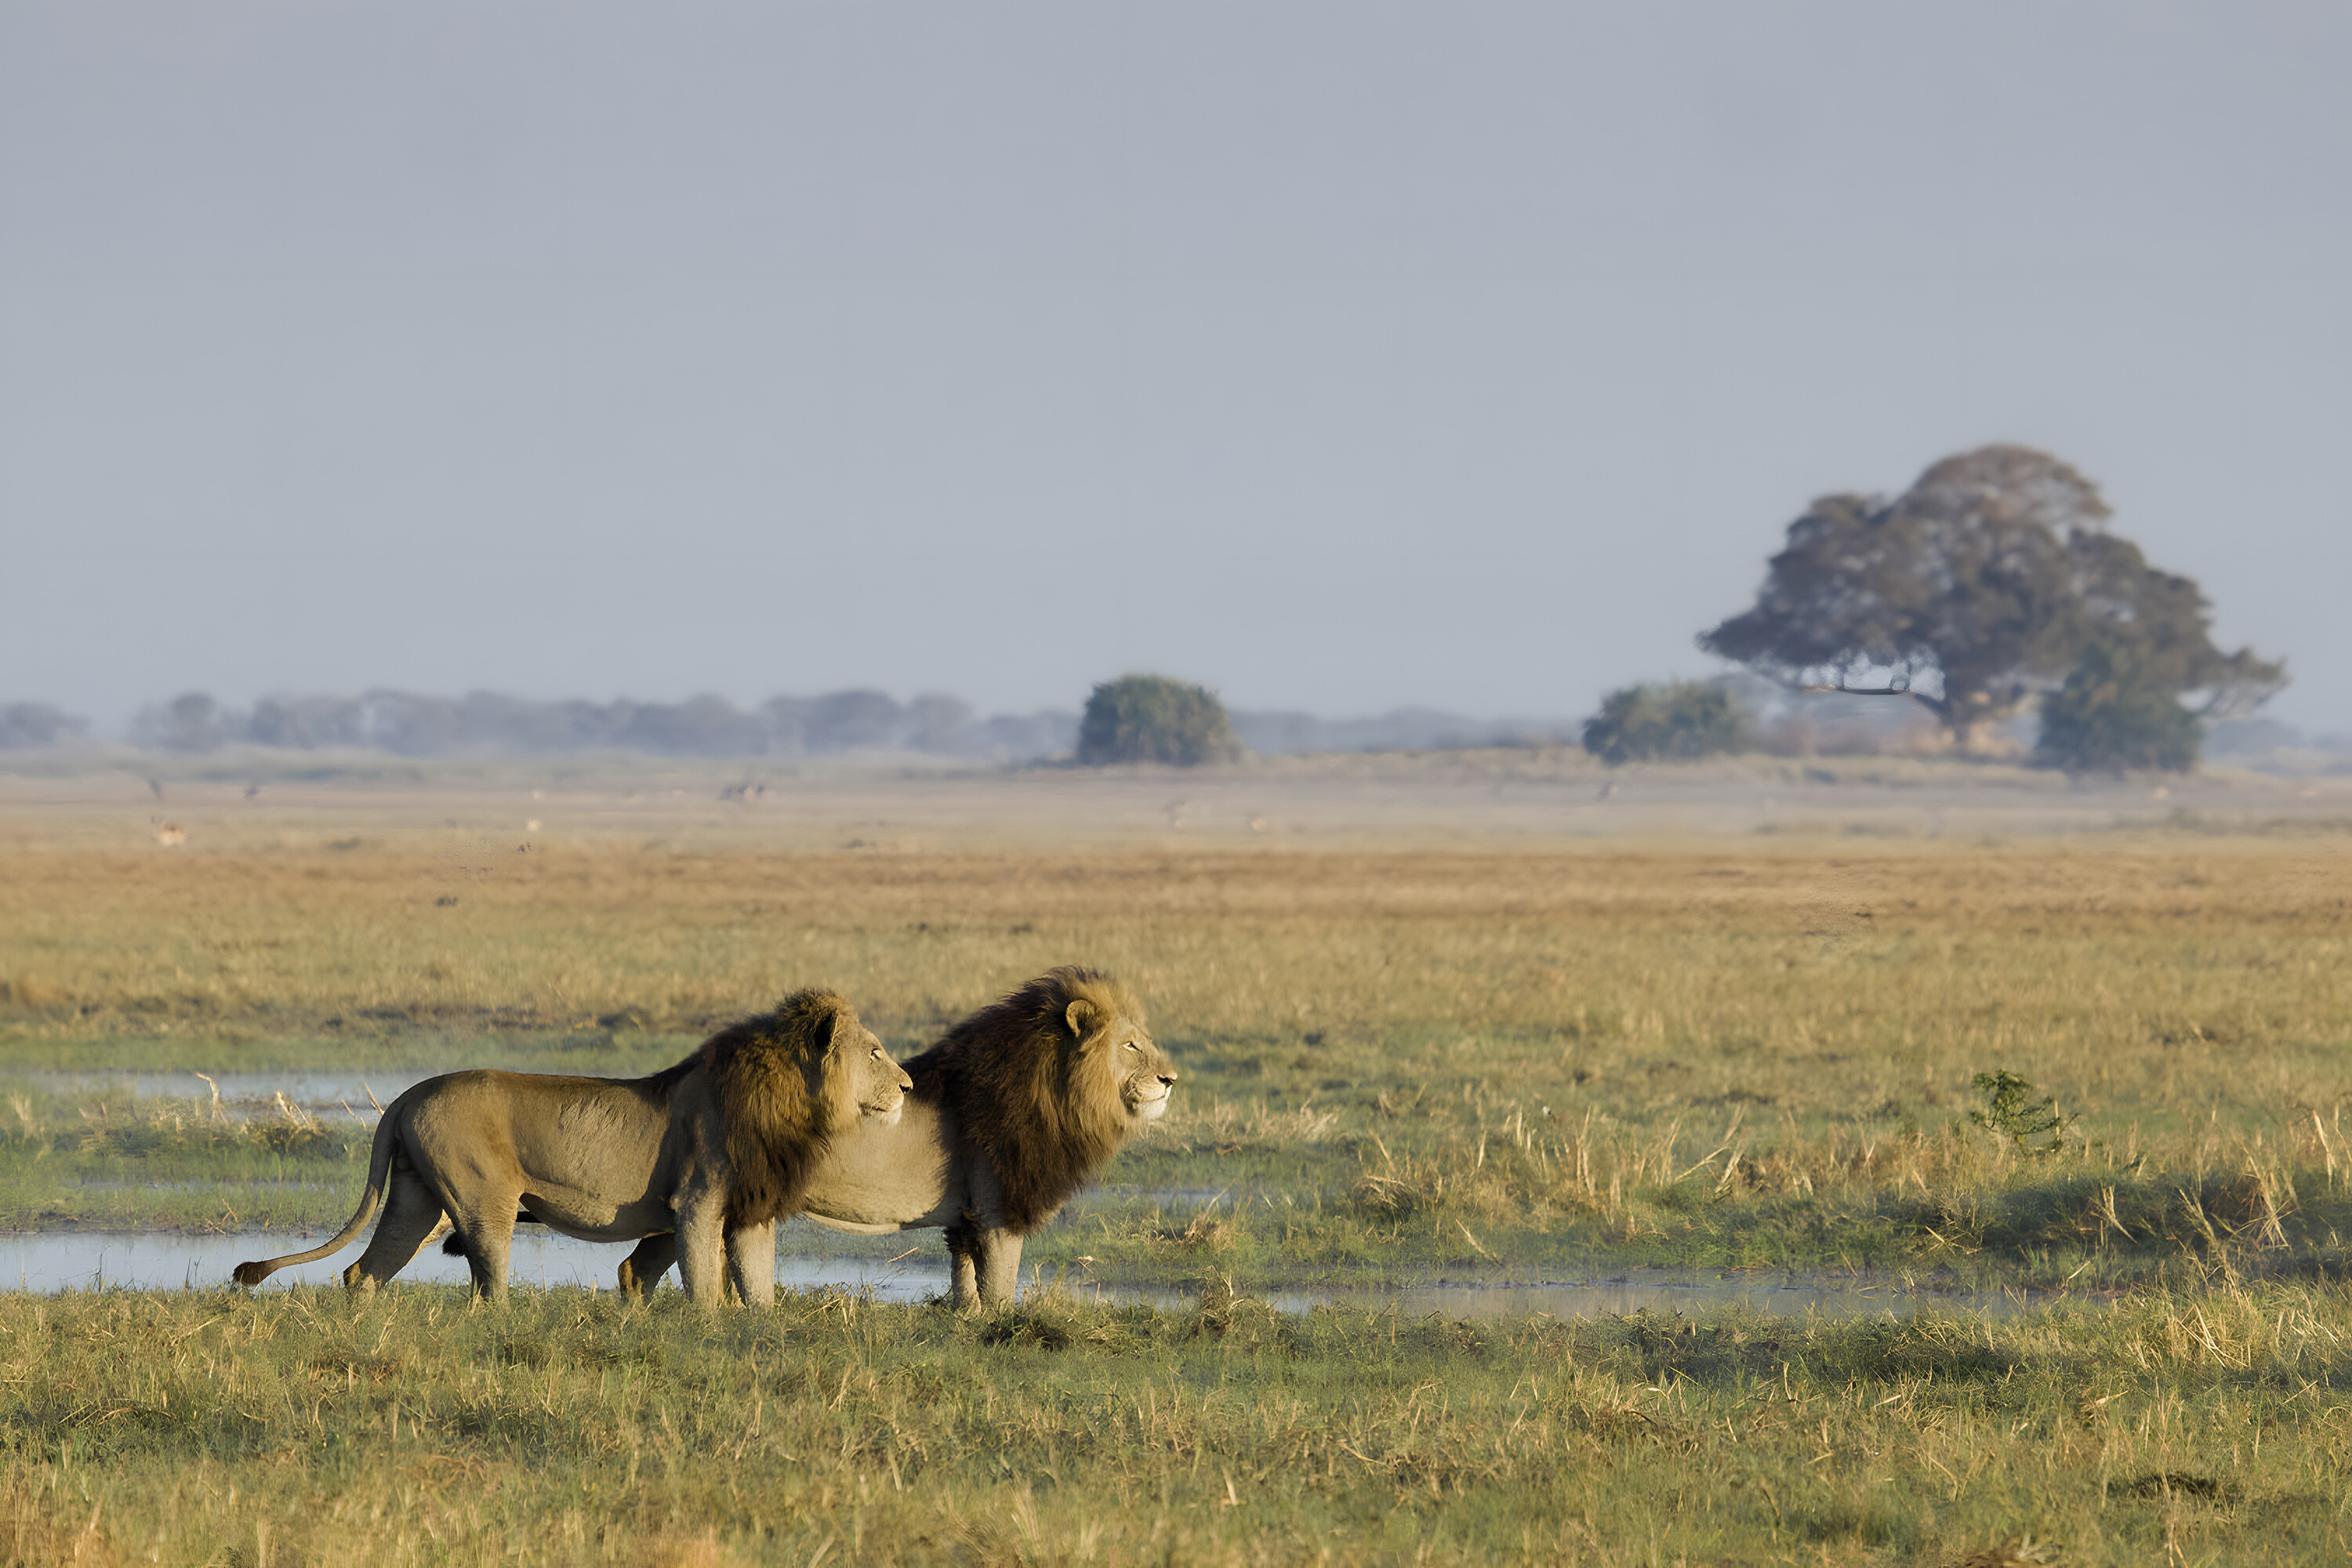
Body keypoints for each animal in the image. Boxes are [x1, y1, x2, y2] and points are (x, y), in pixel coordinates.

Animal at [227, 992, 908, 1316]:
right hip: (482, 1199)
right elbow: (705, 1282)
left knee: (363, 1271)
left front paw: (757, 1326)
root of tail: (407, 1095)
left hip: (417, 1200)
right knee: (487, 1283)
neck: (793, 1102)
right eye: (875, 1052)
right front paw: (709, 1328)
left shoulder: (750, 1208)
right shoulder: (698, 1198)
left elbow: (757, 1284)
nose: (906, 1087)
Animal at [616, 968, 1176, 1316]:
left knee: (641, 1263)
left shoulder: (968, 1213)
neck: (1056, 1091)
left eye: (1144, 1041)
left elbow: (965, 1275)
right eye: (1130, 1045)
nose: (1171, 1079)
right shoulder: (999, 1206)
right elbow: (1000, 1280)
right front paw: (1002, 1323)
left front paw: (966, 1319)